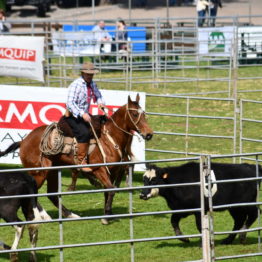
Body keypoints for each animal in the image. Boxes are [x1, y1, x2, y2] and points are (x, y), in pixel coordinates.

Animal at [0, 94, 152, 223]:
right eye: (134, 114)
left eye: (144, 114)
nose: (149, 134)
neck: (109, 139)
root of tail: (23, 141)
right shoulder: (99, 170)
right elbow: (111, 189)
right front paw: (106, 216)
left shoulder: (113, 171)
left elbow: (109, 191)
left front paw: (108, 213)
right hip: (39, 173)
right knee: (33, 192)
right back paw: (42, 216)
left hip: (52, 171)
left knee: (52, 194)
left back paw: (69, 214)